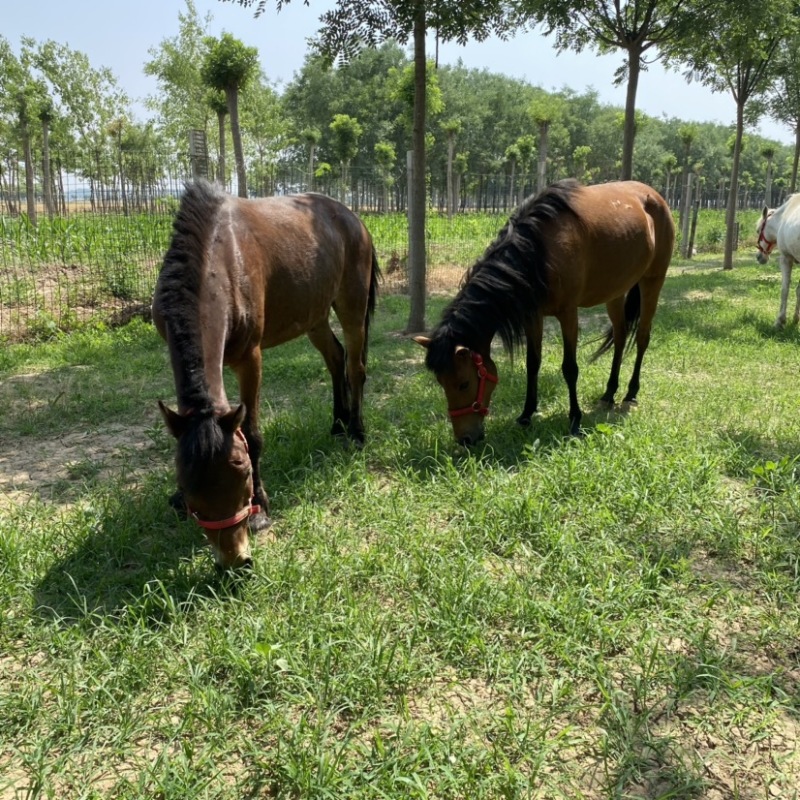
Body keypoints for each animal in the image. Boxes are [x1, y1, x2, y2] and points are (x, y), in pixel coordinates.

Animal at [152, 180, 380, 570]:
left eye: (242, 472)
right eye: (189, 488)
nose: (235, 560)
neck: (219, 260)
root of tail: (354, 219)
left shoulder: (250, 359)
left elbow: (252, 433)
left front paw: (261, 509)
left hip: (352, 306)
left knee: (355, 368)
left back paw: (356, 431)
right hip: (314, 317)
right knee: (336, 360)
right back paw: (337, 424)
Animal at [414, 179, 674, 445]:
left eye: (464, 384)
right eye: (441, 383)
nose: (466, 439)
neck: (538, 251)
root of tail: (655, 196)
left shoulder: (568, 313)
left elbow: (570, 368)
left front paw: (575, 419)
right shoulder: (533, 316)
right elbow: (533, 363)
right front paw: (526, 414)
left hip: (652, 282)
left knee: (642, 337)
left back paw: (631, 393)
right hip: (615, 292)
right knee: (621, 337)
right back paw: (609, 393)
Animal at [755, 194, 800, 328]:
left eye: (758, 230)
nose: (758, 257)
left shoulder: (786, 258)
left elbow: (785, 289)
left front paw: (780, 321)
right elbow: (798, 290)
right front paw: (795, 318)